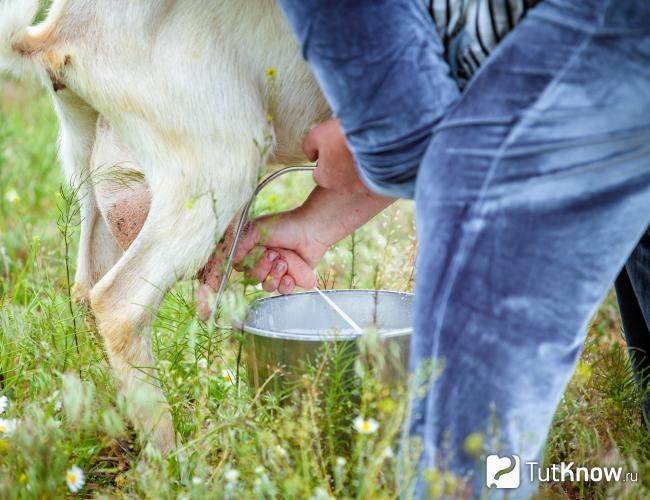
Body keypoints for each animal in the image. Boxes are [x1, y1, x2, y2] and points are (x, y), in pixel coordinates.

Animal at [0, 0, 330, 451]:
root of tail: (58, 31)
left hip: (92, 173)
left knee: (86, 289)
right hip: (218, 159)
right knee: (118, 303)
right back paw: (173, 457)